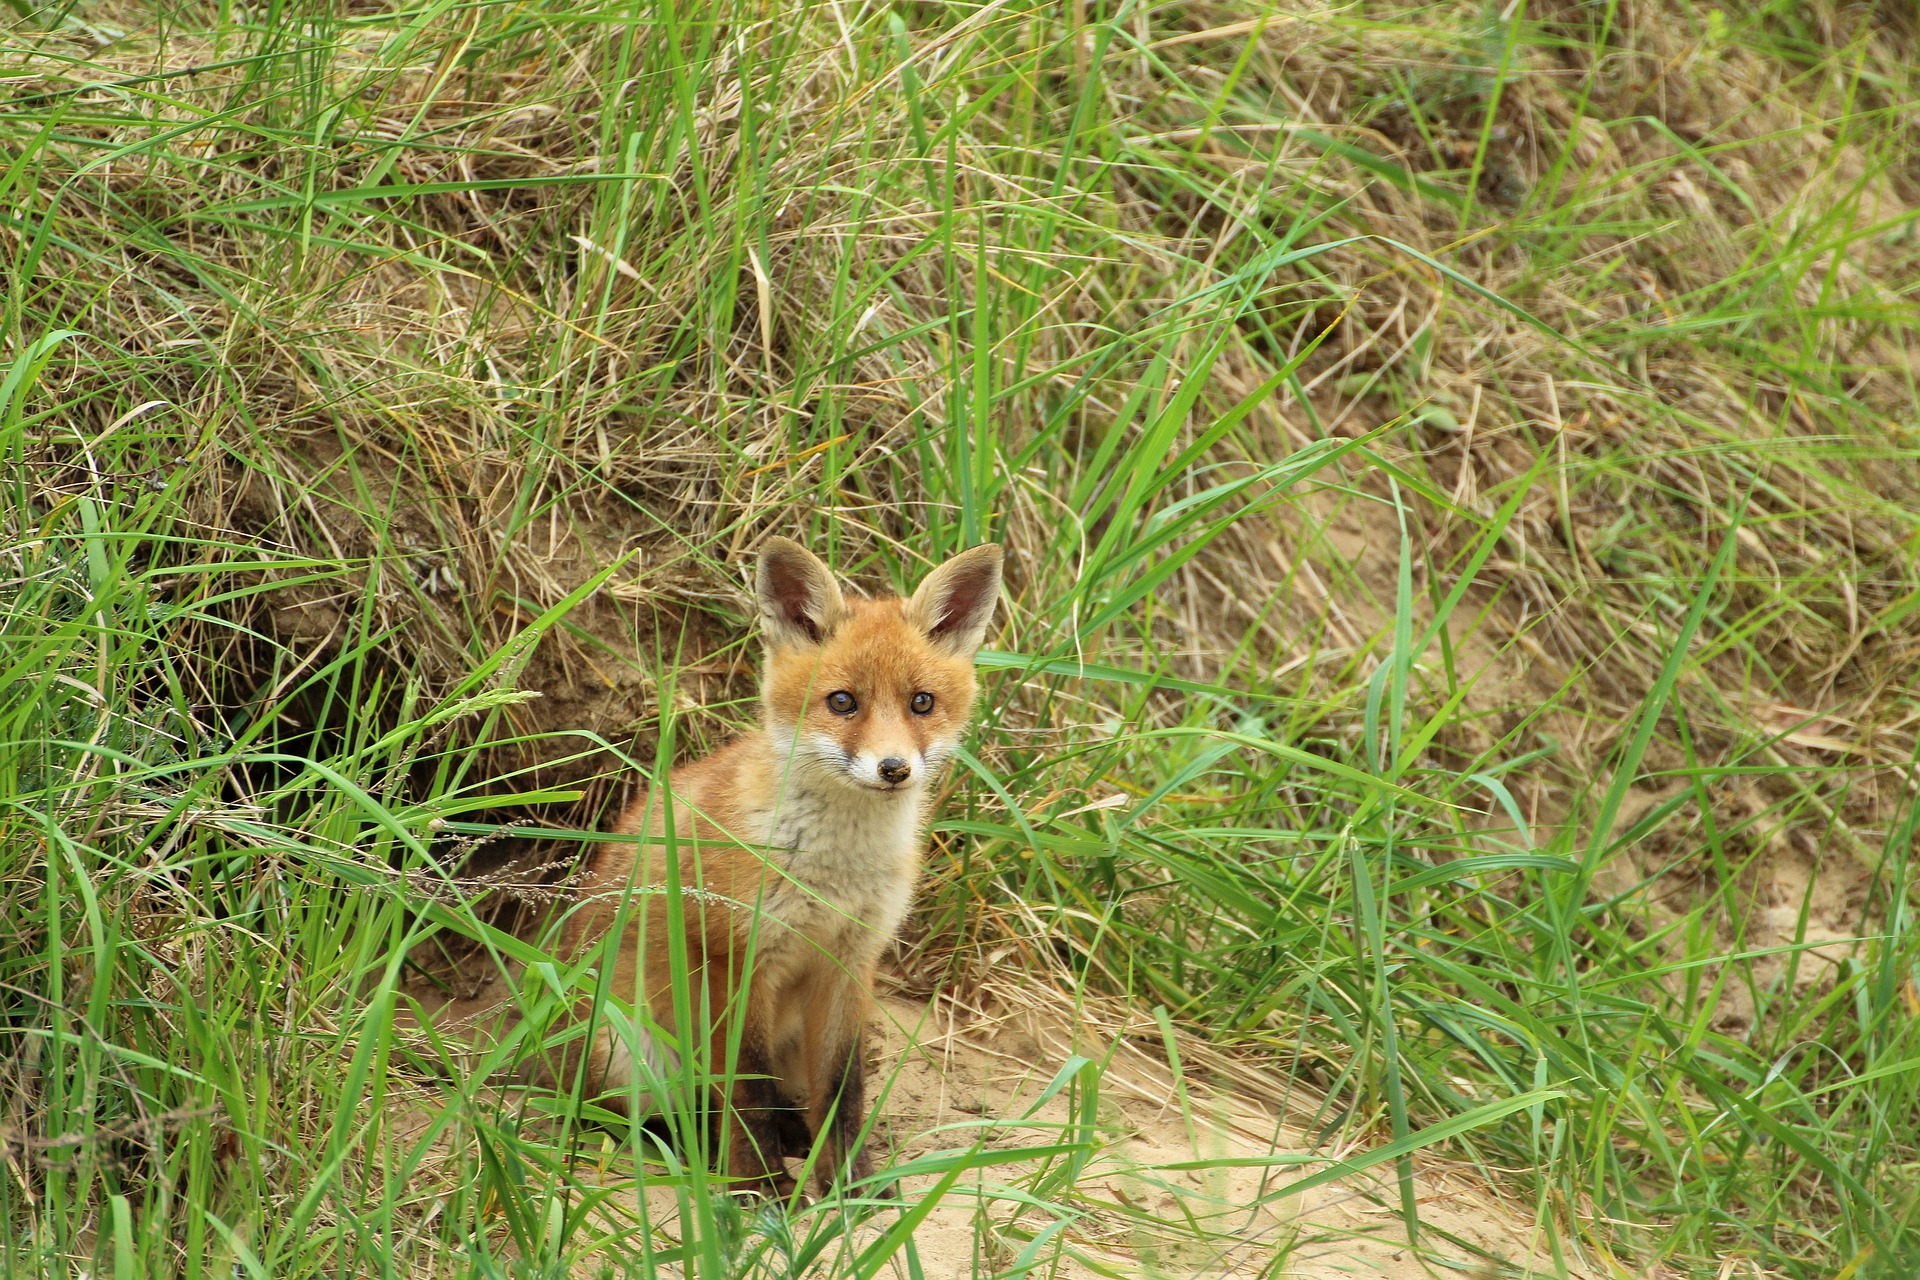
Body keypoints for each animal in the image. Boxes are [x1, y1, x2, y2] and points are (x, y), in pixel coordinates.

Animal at [556, 537, 1006, 1197]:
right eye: (842, 702)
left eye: (921, 703)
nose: (894, 768)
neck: (834, 872)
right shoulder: (734, 957)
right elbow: (747, 1087)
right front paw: (759, 1189)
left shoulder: (851, 959)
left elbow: (842, 1091)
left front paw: (850, 1186)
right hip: (628, 1052)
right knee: (650, 1117)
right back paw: (704, 1150)